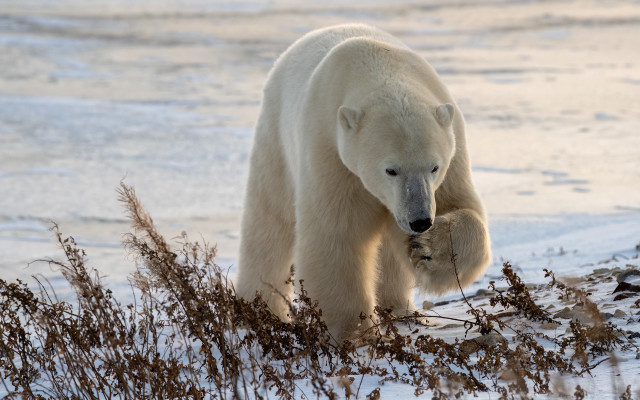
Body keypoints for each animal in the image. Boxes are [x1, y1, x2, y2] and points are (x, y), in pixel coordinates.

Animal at [235, 24, 491, 341]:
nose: (420, 221)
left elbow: (461, 206)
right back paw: (259, 310)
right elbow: (337, 236)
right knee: (268, 226)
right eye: (390, 170)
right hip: (276, 139)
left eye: (434, 167)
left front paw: (427, 249)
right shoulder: (332, 155)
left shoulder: (452, 150)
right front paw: (355, 332)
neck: (378, 63)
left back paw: (402, 309)